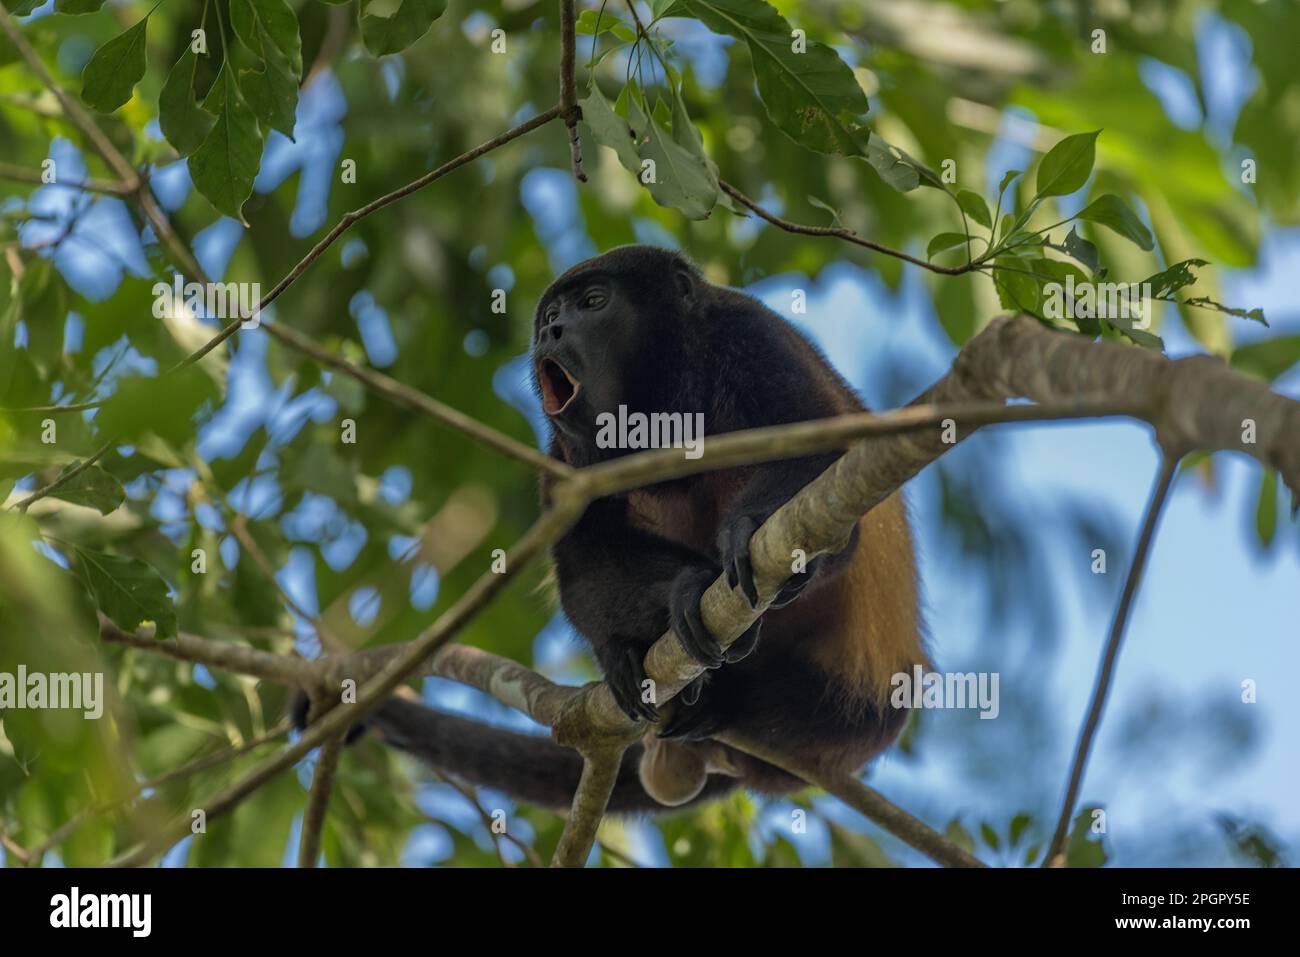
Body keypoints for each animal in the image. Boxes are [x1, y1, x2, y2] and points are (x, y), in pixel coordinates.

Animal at [317, 247, 925, 816]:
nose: (552, 331)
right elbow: (584, 568)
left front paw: (748, 529)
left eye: (593, 303)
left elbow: (821, 464)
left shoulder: (753, 335)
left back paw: (722, 701)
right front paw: (678, 594)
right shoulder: (562, 457)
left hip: (854, 717)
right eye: (551, 315)